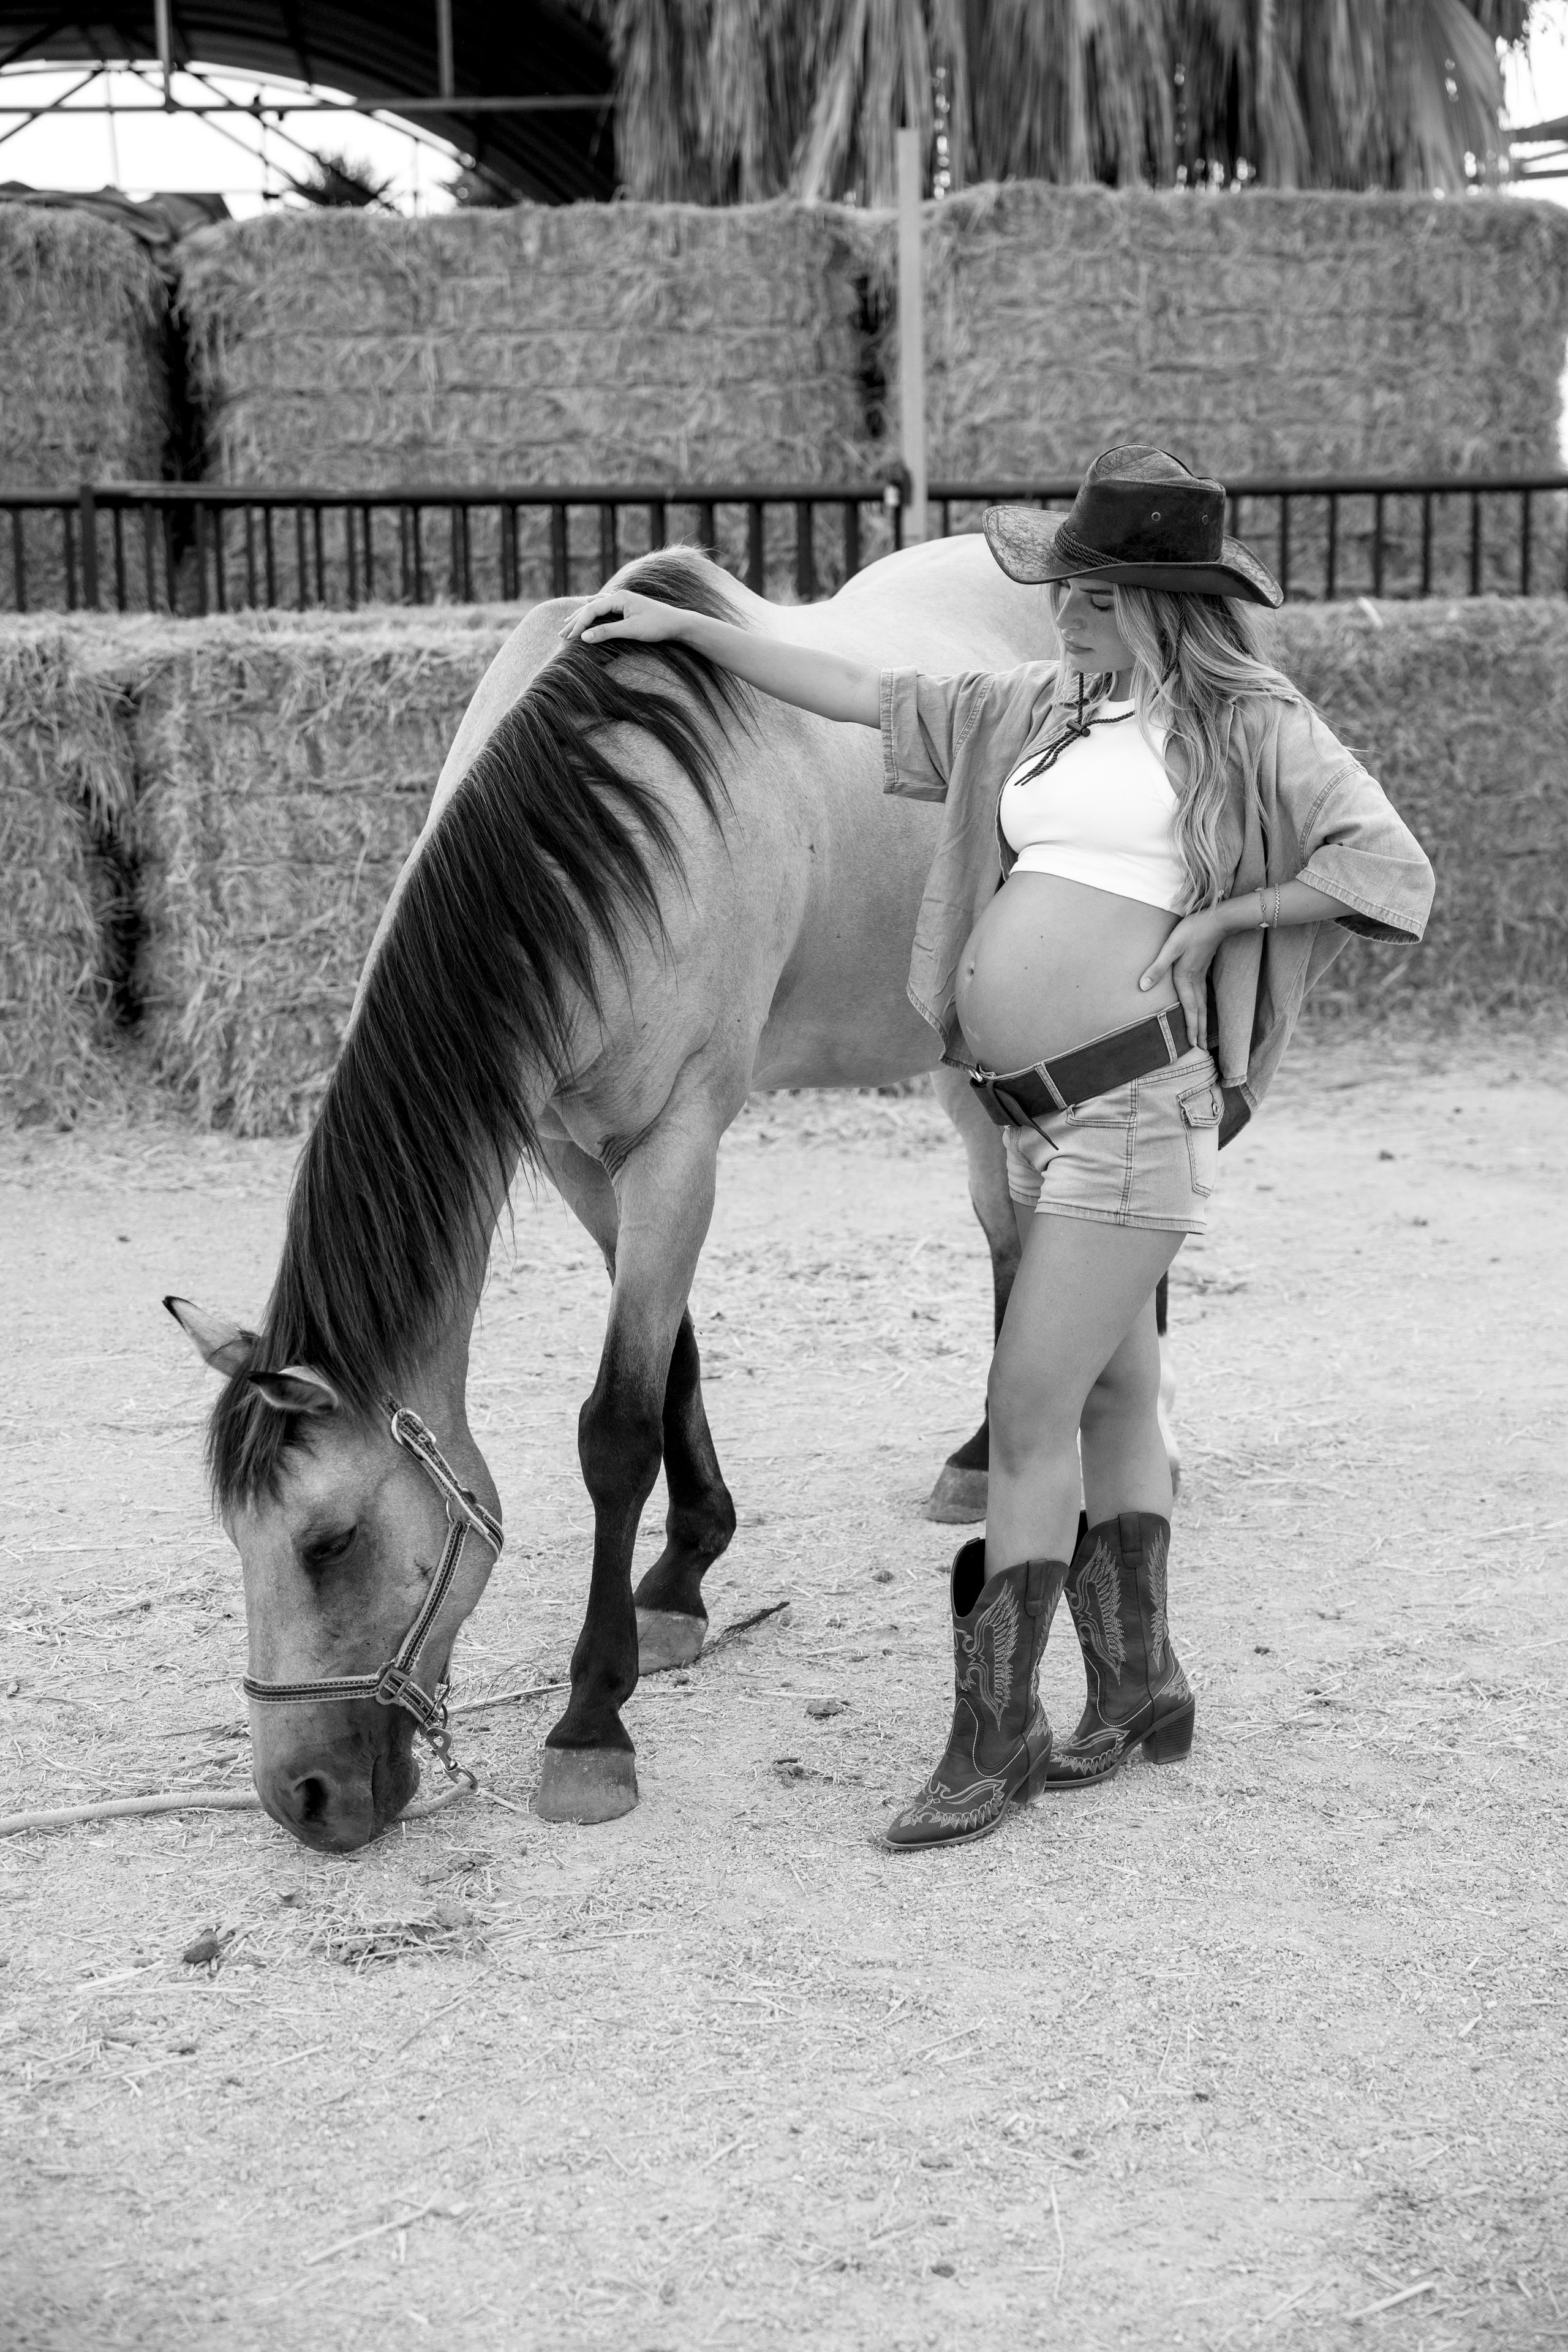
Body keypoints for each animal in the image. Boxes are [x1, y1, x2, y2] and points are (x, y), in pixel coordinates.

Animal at [166, 535, 1160, 1850]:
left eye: (328, 1543)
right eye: (236, 1538)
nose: (304, 1799)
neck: (607, 823)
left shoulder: (679, 1139)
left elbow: (616, 1426)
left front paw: (593, 1721)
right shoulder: (580, 1154)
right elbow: (671, 1362)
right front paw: (684, 1580)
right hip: (961, 1060)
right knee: (1010, 1240)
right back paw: (982, 1458)